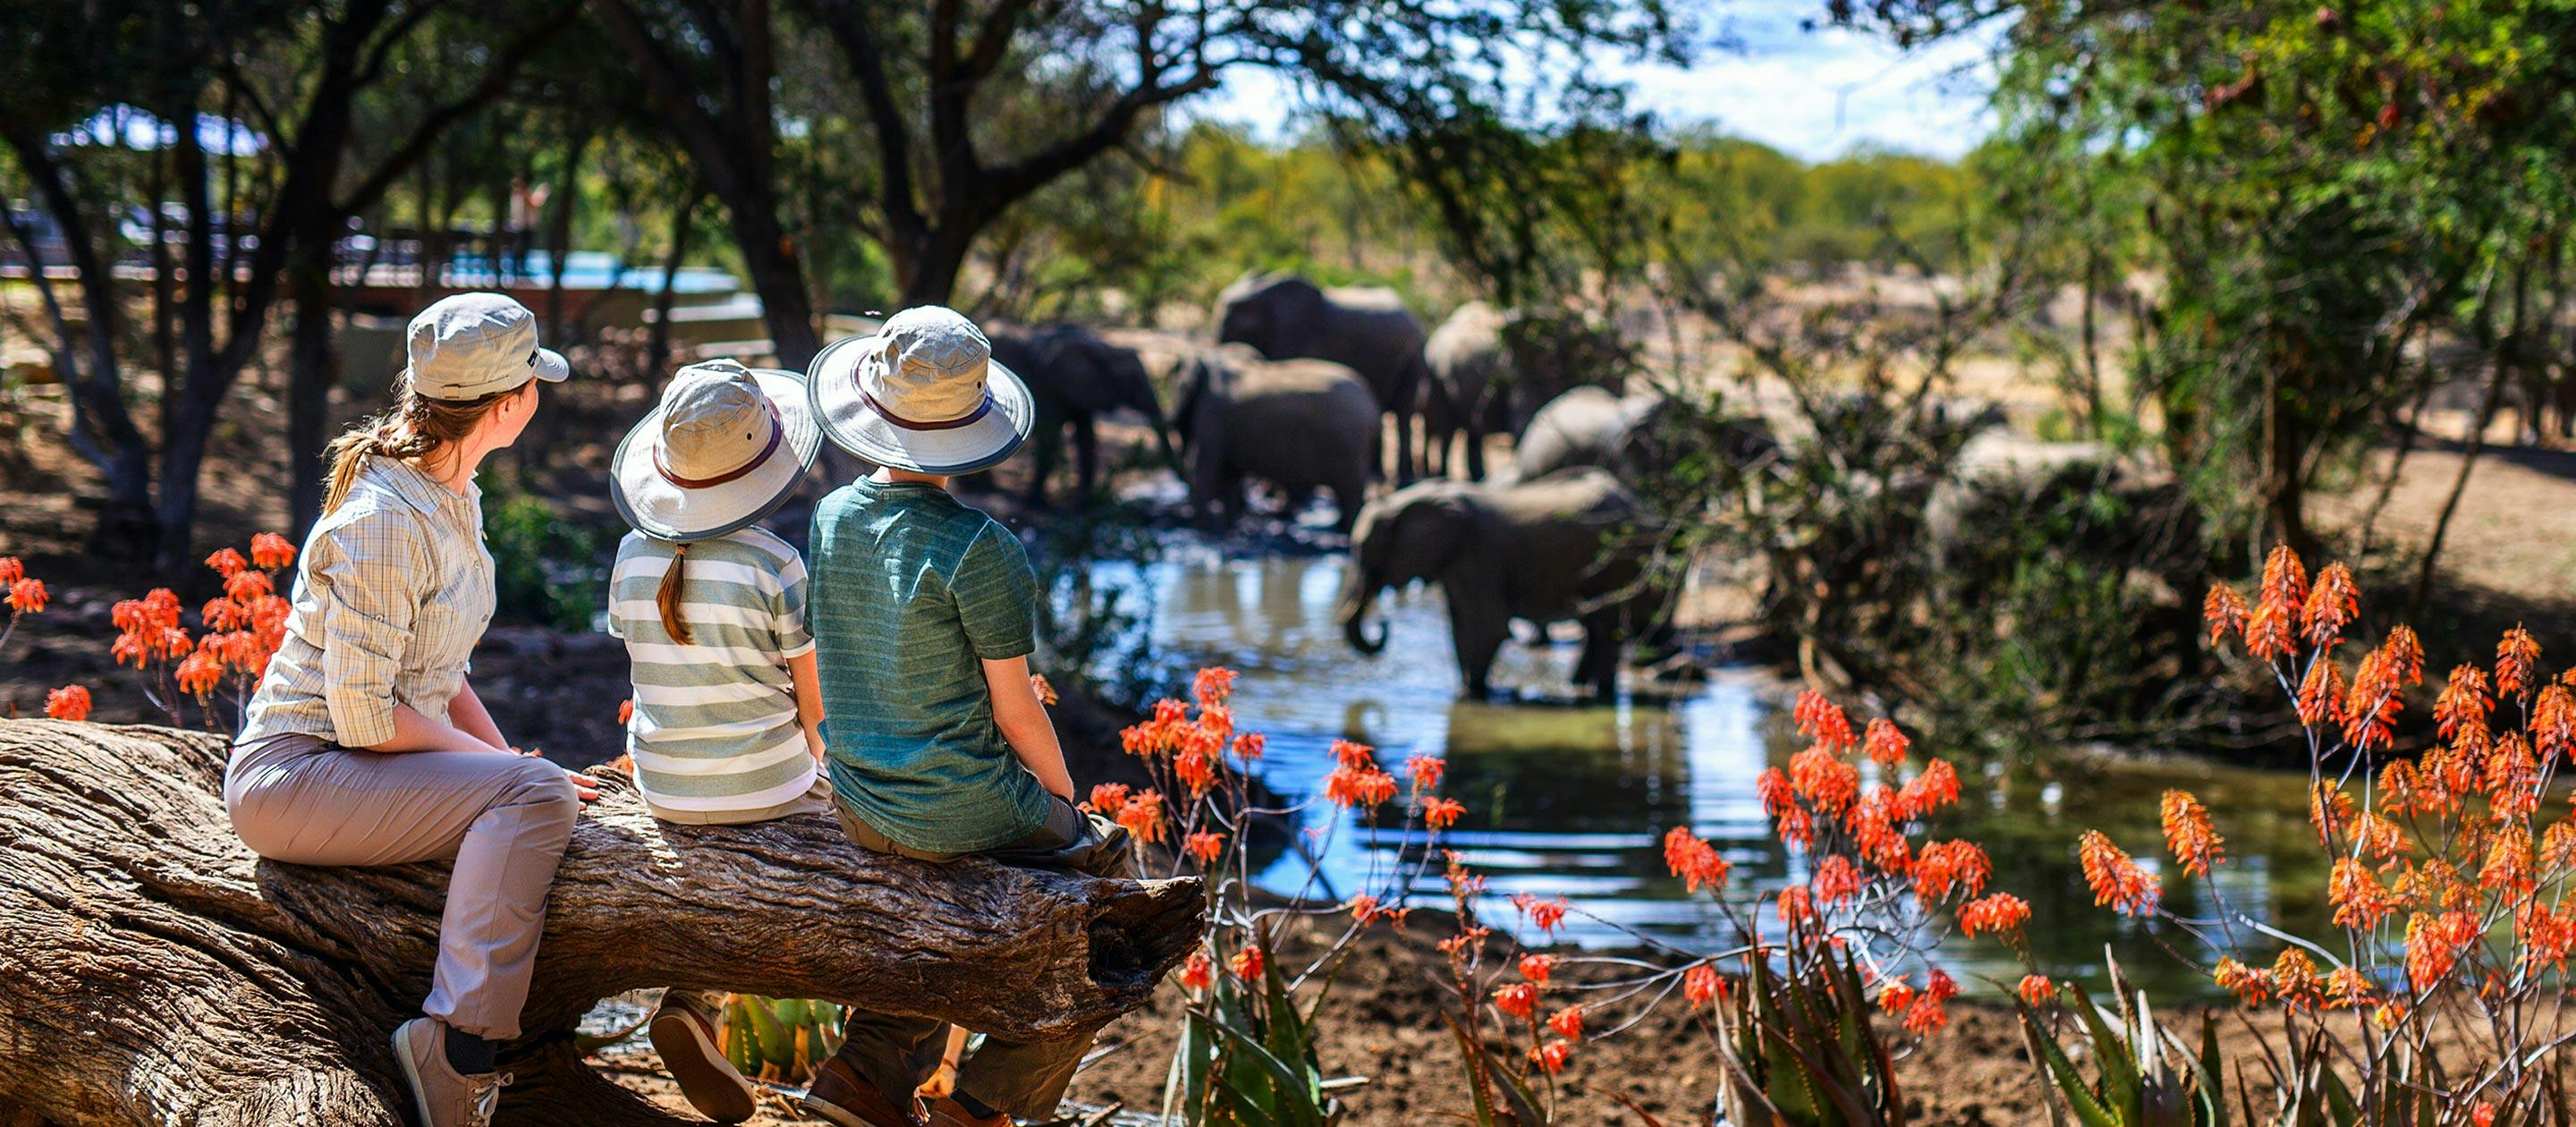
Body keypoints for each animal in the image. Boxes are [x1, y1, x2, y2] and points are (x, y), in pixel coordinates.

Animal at [988, 324, 1180, 505]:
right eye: (1134, 380)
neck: (1105, 349)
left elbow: (1086, 437)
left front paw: (1084, 504)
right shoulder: (1048, 388)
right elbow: (1051, 438)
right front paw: (1037, 503)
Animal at [1174, 344, 1379, 533]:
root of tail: (1372, 405)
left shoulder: (1212, 418)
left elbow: (1205, 471)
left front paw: (1203, 530)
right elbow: (1230, 476)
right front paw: (1225, 529)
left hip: (1348, 449)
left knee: (1350, 493)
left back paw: (1346, 531)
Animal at [1334, 466, 1667, 699]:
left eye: (1367, 551)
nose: (1383, 626)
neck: (1407, 499)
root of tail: (1642, 505)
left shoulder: (1480, 555)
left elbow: (1489, 627)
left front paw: (1472, 694)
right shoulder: (1458, 562)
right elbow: (1459, 627)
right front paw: (1466, 690)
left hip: (1619, 560)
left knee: (1605, 627)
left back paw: (1600, 694)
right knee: (1596, 627)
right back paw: (1578, 687)